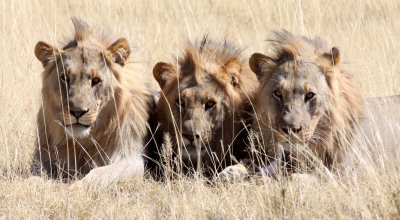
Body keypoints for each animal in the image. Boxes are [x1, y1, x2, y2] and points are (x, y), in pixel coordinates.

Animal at [30, 18, 153, 188]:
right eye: (65, 78)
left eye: (96, 80)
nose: (77, 112)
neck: (82, 141)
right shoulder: (43, 158)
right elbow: (33, 176)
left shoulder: (133, 159)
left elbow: (100, 173)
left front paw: (75, 187)